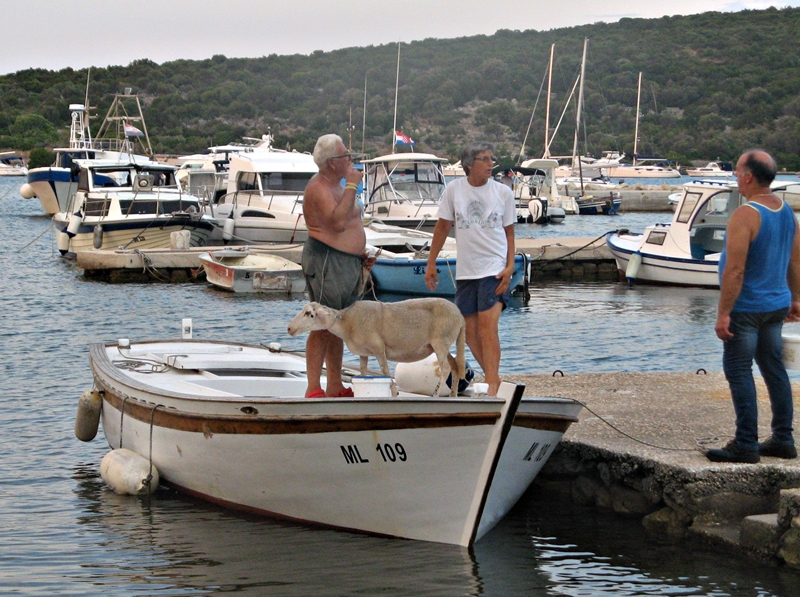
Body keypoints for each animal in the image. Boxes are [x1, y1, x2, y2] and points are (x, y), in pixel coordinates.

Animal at [288, 298, 466, 396]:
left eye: (309, 314)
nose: (289, 328)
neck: (346, 323)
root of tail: (460, 316)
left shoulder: (379, 348)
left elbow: (385, 371)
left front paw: (393, 393)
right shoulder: (363, 353)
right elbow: (363, 371)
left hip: (440, 341)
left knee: (445, 368)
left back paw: (436, 394)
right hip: (442, 343)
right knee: (455, 366)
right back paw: (453, 395)